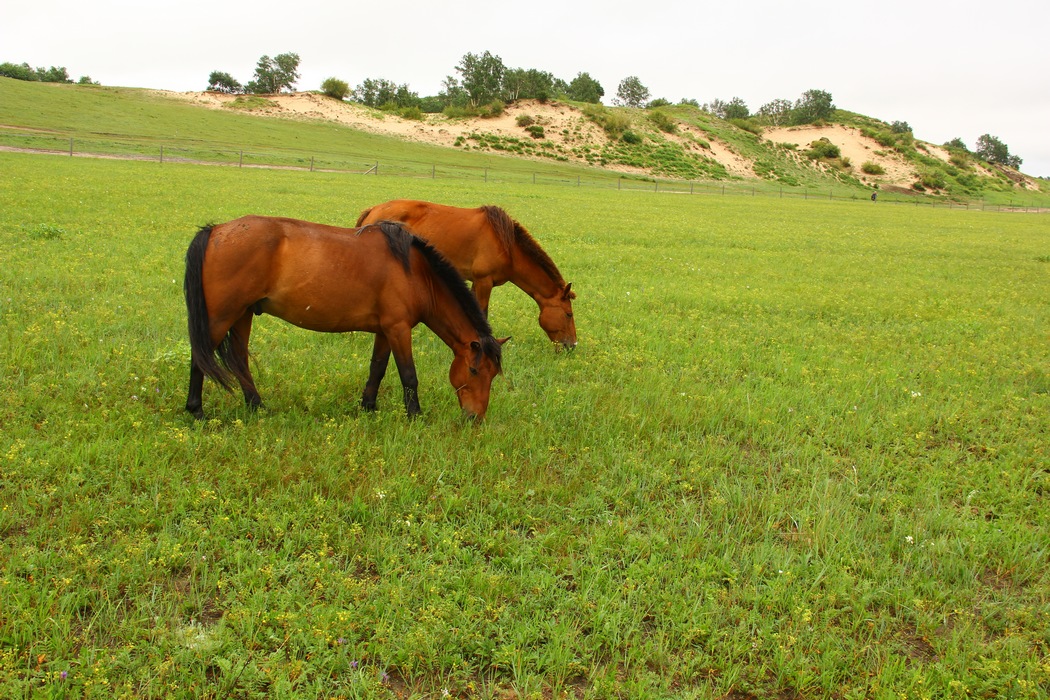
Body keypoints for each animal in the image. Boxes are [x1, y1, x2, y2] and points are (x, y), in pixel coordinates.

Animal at [185, 214, 508, 421]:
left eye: (493, 374)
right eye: (475, 371)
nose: (475, 418)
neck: (416, 272)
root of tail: (216, 231)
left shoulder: (386, 330)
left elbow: (377, 369)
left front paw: (368, 407)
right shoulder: (399, 329)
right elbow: (408, 375)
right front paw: (415, 416)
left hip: (242, 315)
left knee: (239, 359)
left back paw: (257, 407)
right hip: (221, 317)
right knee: (200, 356)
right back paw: (196, 410)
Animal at [356, 199, 579, 350]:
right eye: (569, 314)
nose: (572, 345)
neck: (507, 247)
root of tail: (373, 210)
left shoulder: (475, 283)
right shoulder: (484, 282)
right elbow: (482, 312)